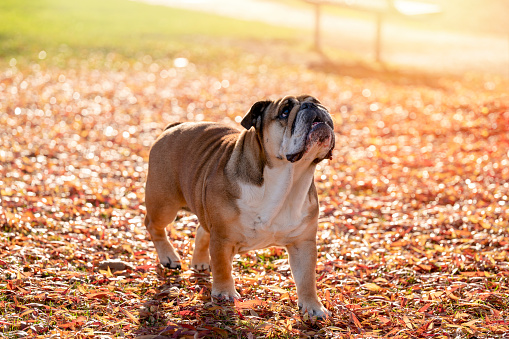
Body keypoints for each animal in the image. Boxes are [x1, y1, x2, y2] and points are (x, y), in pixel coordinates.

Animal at [144, 94, 334, 318]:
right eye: (285, 111)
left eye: (318, 102)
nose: (312, 106)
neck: (288, 180)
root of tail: (173, 127)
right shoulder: (223, 238)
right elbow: (222, 266)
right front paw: (225, 292)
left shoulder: (303, 243)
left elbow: (306, 278)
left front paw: (313, 307)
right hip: (164, 203)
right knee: (154, 225)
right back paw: (168, 256)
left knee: (201, 229)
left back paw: (199, 260)